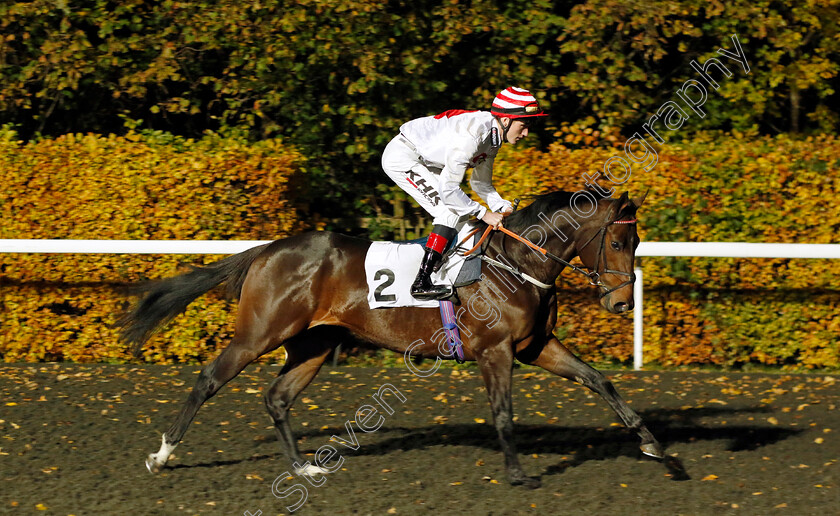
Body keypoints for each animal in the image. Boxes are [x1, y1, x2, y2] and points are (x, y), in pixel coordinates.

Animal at [118, 189, 664, 488]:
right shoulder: (495, 352)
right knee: (209, 379)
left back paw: (303, 470)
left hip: (315, 344)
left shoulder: (535, 347)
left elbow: (599, 381)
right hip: (260, 334)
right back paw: (162, 455)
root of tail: (268, 249)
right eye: (618, 241)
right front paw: (517, 474)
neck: (516, 265)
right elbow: (504, 414)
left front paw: (653, 445)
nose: (622, 304)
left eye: (637, 241)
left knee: (277, 398)